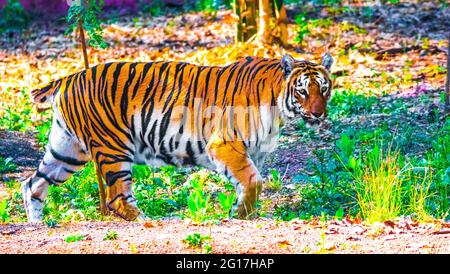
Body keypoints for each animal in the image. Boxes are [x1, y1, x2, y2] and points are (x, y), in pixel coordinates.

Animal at [22, 54, 332, 223]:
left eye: (324, 88)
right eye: (303, 90)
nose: (318, 113)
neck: (278, 106)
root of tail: (69, 78)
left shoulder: (254, 152)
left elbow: (250, 182)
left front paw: (245, 212)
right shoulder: (225, 144)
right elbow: (253, 181)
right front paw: (239, 215)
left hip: (67, 150)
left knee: (32, 183)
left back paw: (36, 224)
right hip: (113, 148)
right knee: (116, 197)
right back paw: (147, 221)